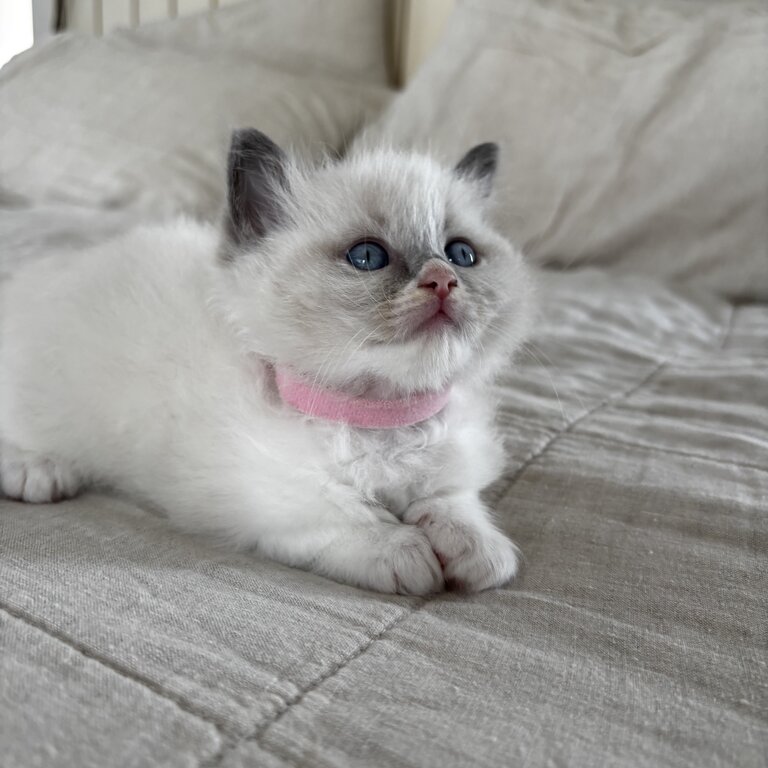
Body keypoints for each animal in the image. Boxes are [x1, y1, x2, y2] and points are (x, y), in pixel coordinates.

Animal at [0, 132, 536, 596]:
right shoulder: (265, 501)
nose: (443, 281)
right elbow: (347, 517)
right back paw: (38, 471)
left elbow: (451, 503)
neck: (381, 419)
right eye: (367, 256)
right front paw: (404, 551)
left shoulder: (450, 465)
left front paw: (476, 549)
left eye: (461, 254)